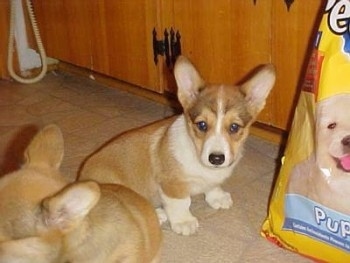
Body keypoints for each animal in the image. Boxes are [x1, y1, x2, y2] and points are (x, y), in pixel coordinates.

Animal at [80, 56, 276, 237]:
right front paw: (184, 221)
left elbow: (212, 186)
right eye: (202, 125)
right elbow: (181, 203)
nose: (216, 159)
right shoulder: (172, 184)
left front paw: (217, 197)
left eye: (234, 127)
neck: (197, 155)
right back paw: (158, 214)